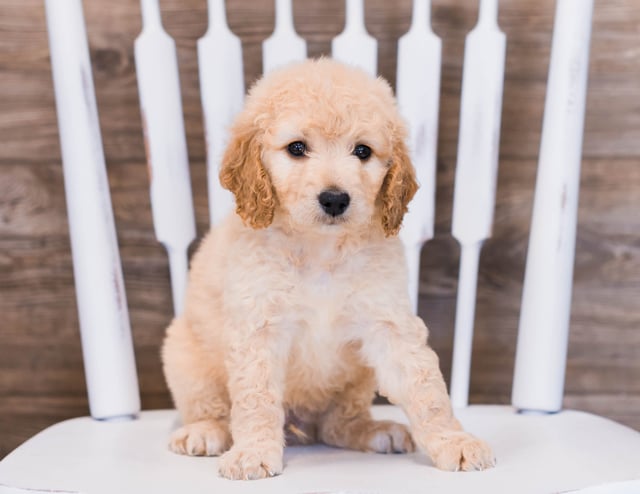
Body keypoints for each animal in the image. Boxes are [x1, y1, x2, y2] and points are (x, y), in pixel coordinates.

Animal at [161, 57, 496, 478]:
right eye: (297, 148)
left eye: (363, 151)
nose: (335, 199)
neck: (320, 250)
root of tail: (302, 425)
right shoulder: (259, 328)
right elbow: (256, 398)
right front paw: (253, 452)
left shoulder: (388, 322)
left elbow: (426, 389)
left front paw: (455, 441)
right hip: (185, 359)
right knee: (212, 406)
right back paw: (205, 431)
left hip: (356, 380)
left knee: (338, 425)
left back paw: (373, 430)